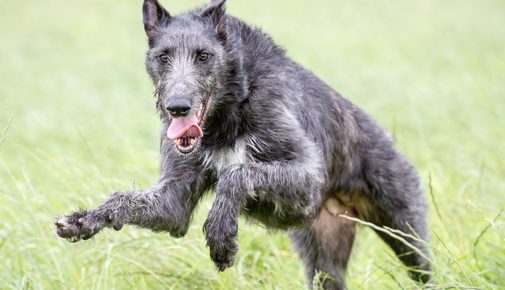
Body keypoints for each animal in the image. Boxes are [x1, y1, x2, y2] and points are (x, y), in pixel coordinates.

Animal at [55, 0, 430, 288]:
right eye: (163, 56)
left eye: (203, 55)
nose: (177, 107)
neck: (229, 112)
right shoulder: (175, 197)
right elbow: (132, 201)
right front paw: (84, 219)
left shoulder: (308, 179)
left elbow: (237, 173)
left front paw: (221, 236)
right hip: (323, 255)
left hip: (405, 226)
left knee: (423, 267)